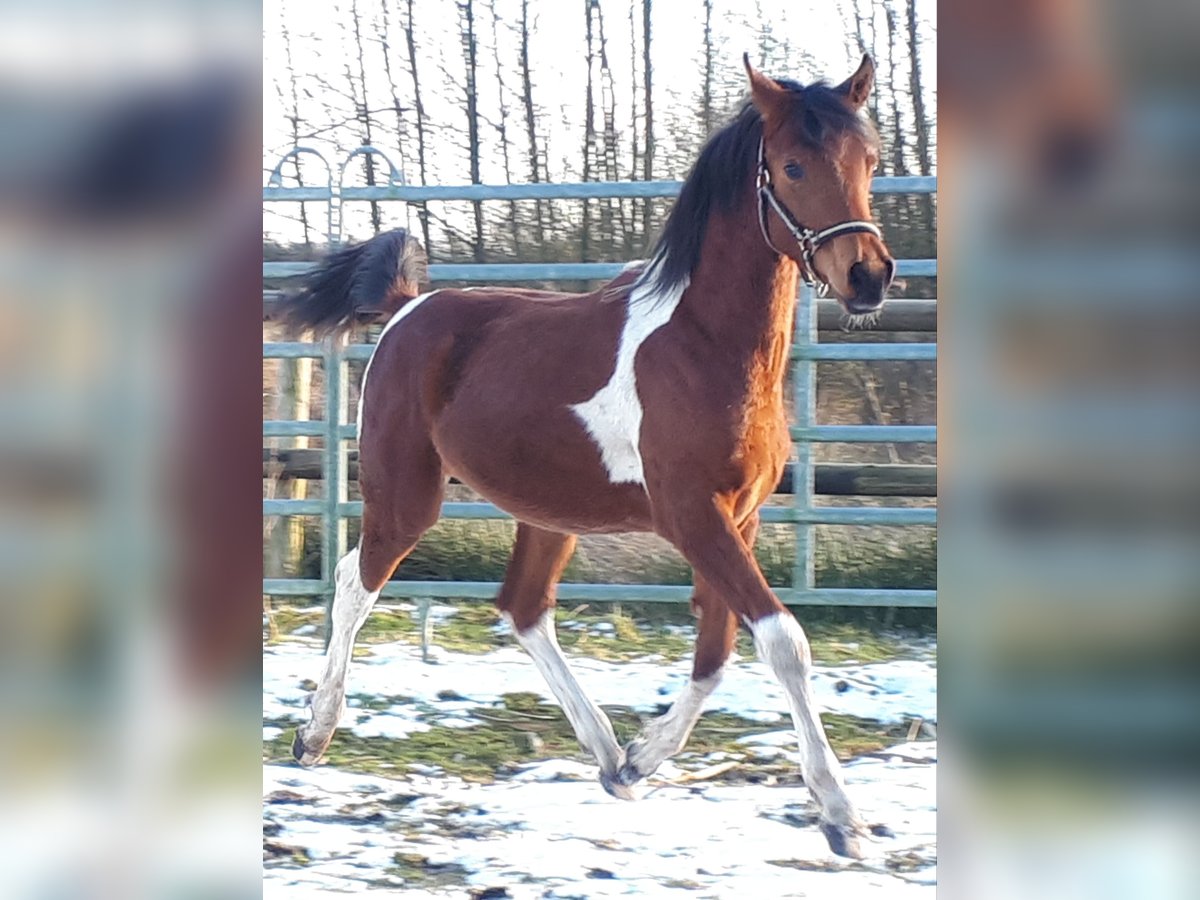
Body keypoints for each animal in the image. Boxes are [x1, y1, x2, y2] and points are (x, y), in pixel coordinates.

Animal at [280, 56, 897, 859]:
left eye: (870, 159)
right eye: (792, 165)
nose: (869, 276)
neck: (704, 347)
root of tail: (408, 308)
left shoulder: (742, 518)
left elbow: (717, 648)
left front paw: (642, 757)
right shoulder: (692, 516)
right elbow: (782, 640)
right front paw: (842, 817)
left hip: (549, 510)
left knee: (523, 607)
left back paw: (608, 756)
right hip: (406, 496)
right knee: (357, 582)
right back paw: (314, 735)